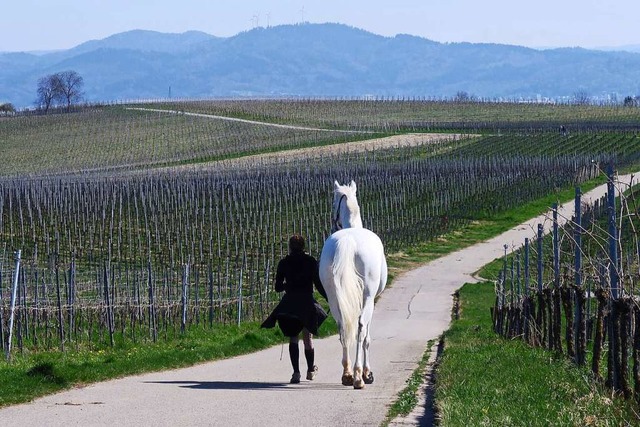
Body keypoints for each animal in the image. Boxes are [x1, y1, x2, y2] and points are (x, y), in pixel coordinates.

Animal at [318, 181, 388, 392]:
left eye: (333, 202)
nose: (333, 223)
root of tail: (348, 240)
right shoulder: (372, 300)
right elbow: (366, 338)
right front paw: (367, 373)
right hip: (367, 298)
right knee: (360, 328)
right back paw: (358, 377)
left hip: (334, 299)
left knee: (342, 328)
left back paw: (347, 374)